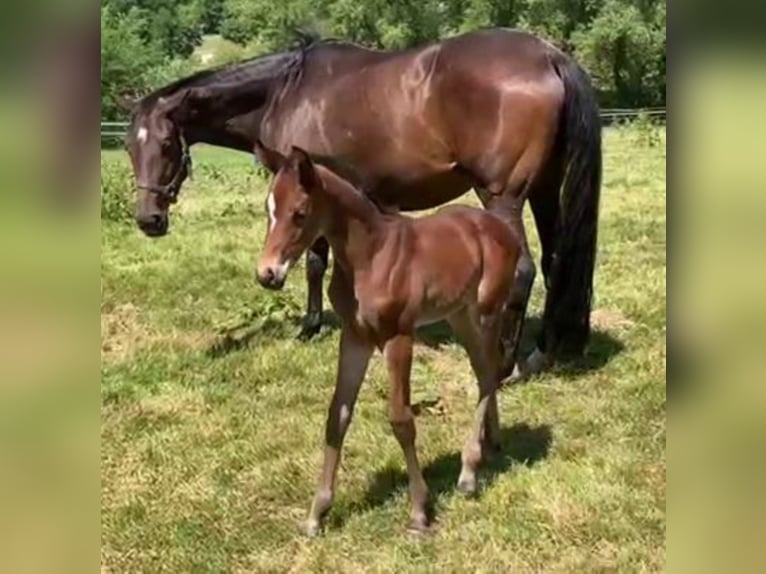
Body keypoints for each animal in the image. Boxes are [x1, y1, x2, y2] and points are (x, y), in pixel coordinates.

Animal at [255, 143, 524, 536]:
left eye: (300, 213)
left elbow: (401, 419)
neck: (370, 257)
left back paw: (469, 471)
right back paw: (492, 442)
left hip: (488, 310)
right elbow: (337, 414)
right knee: (481, 370)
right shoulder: (355, 337)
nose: (267, 274)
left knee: (489, 373)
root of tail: (500, 229)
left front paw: (419, 511)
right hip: (459, 315)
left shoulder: (398, 336)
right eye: (268, 209)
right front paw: (317, 513)